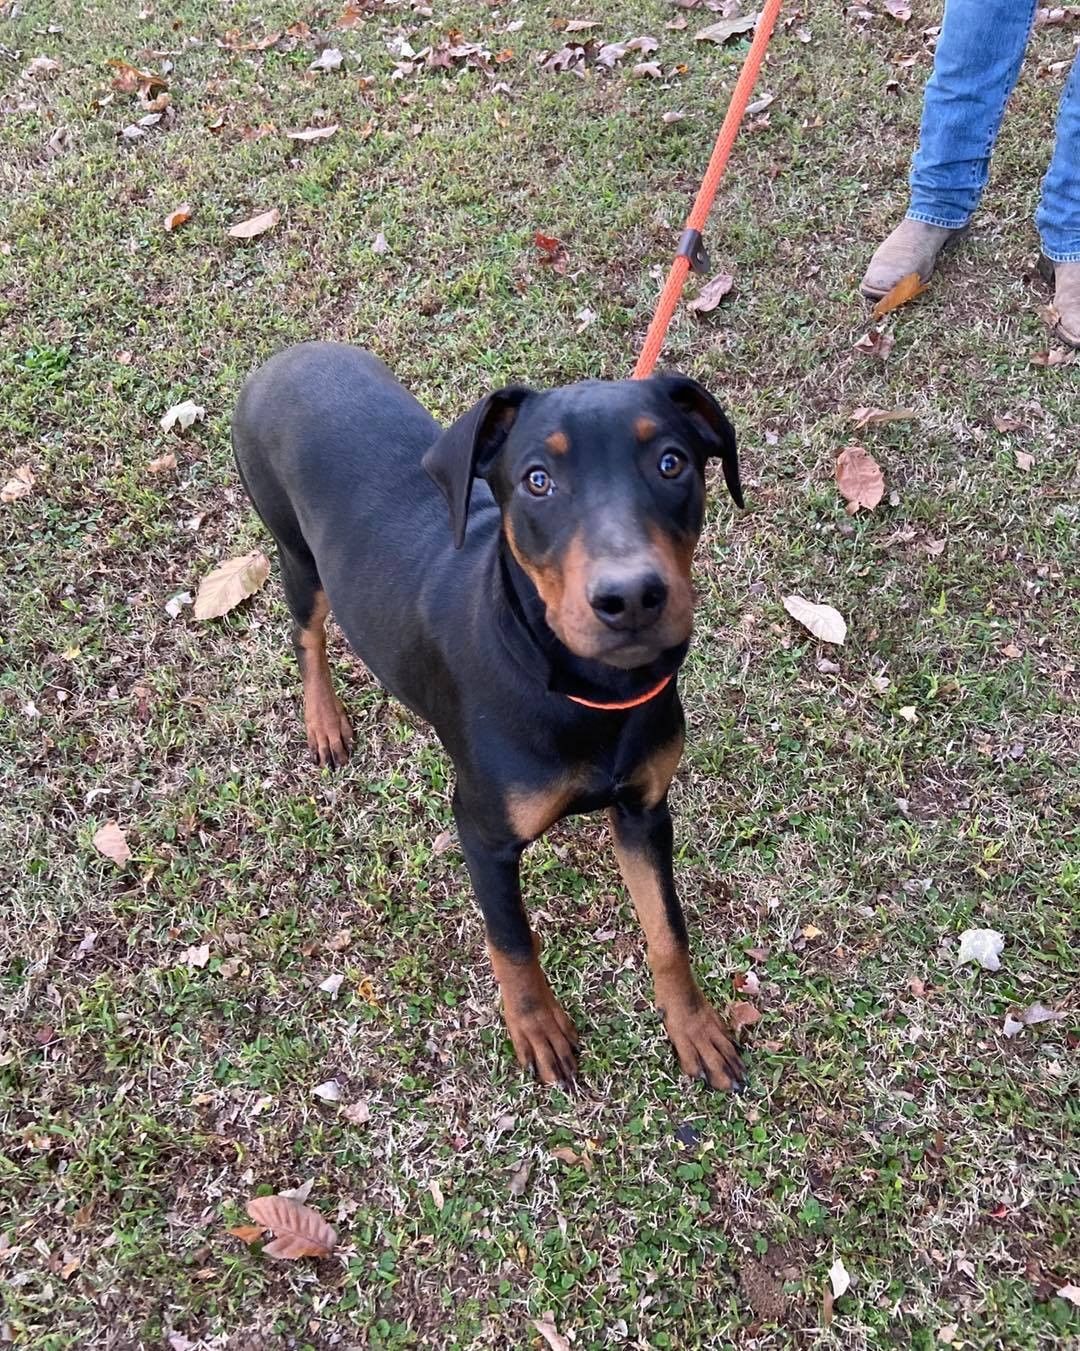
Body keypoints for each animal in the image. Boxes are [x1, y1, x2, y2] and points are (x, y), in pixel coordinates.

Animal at [233, 343, 746, 1091]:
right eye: (537, 480)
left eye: (672, 462)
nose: (630, 597)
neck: (578, 689)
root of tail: (285, 356)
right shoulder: (482, 832)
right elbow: (512, 940)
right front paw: (536, 1028)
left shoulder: (644, 810)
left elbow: (667, 932)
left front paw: (694, 1027)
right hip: (298, 555)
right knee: (308, 635)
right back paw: (324, 720)